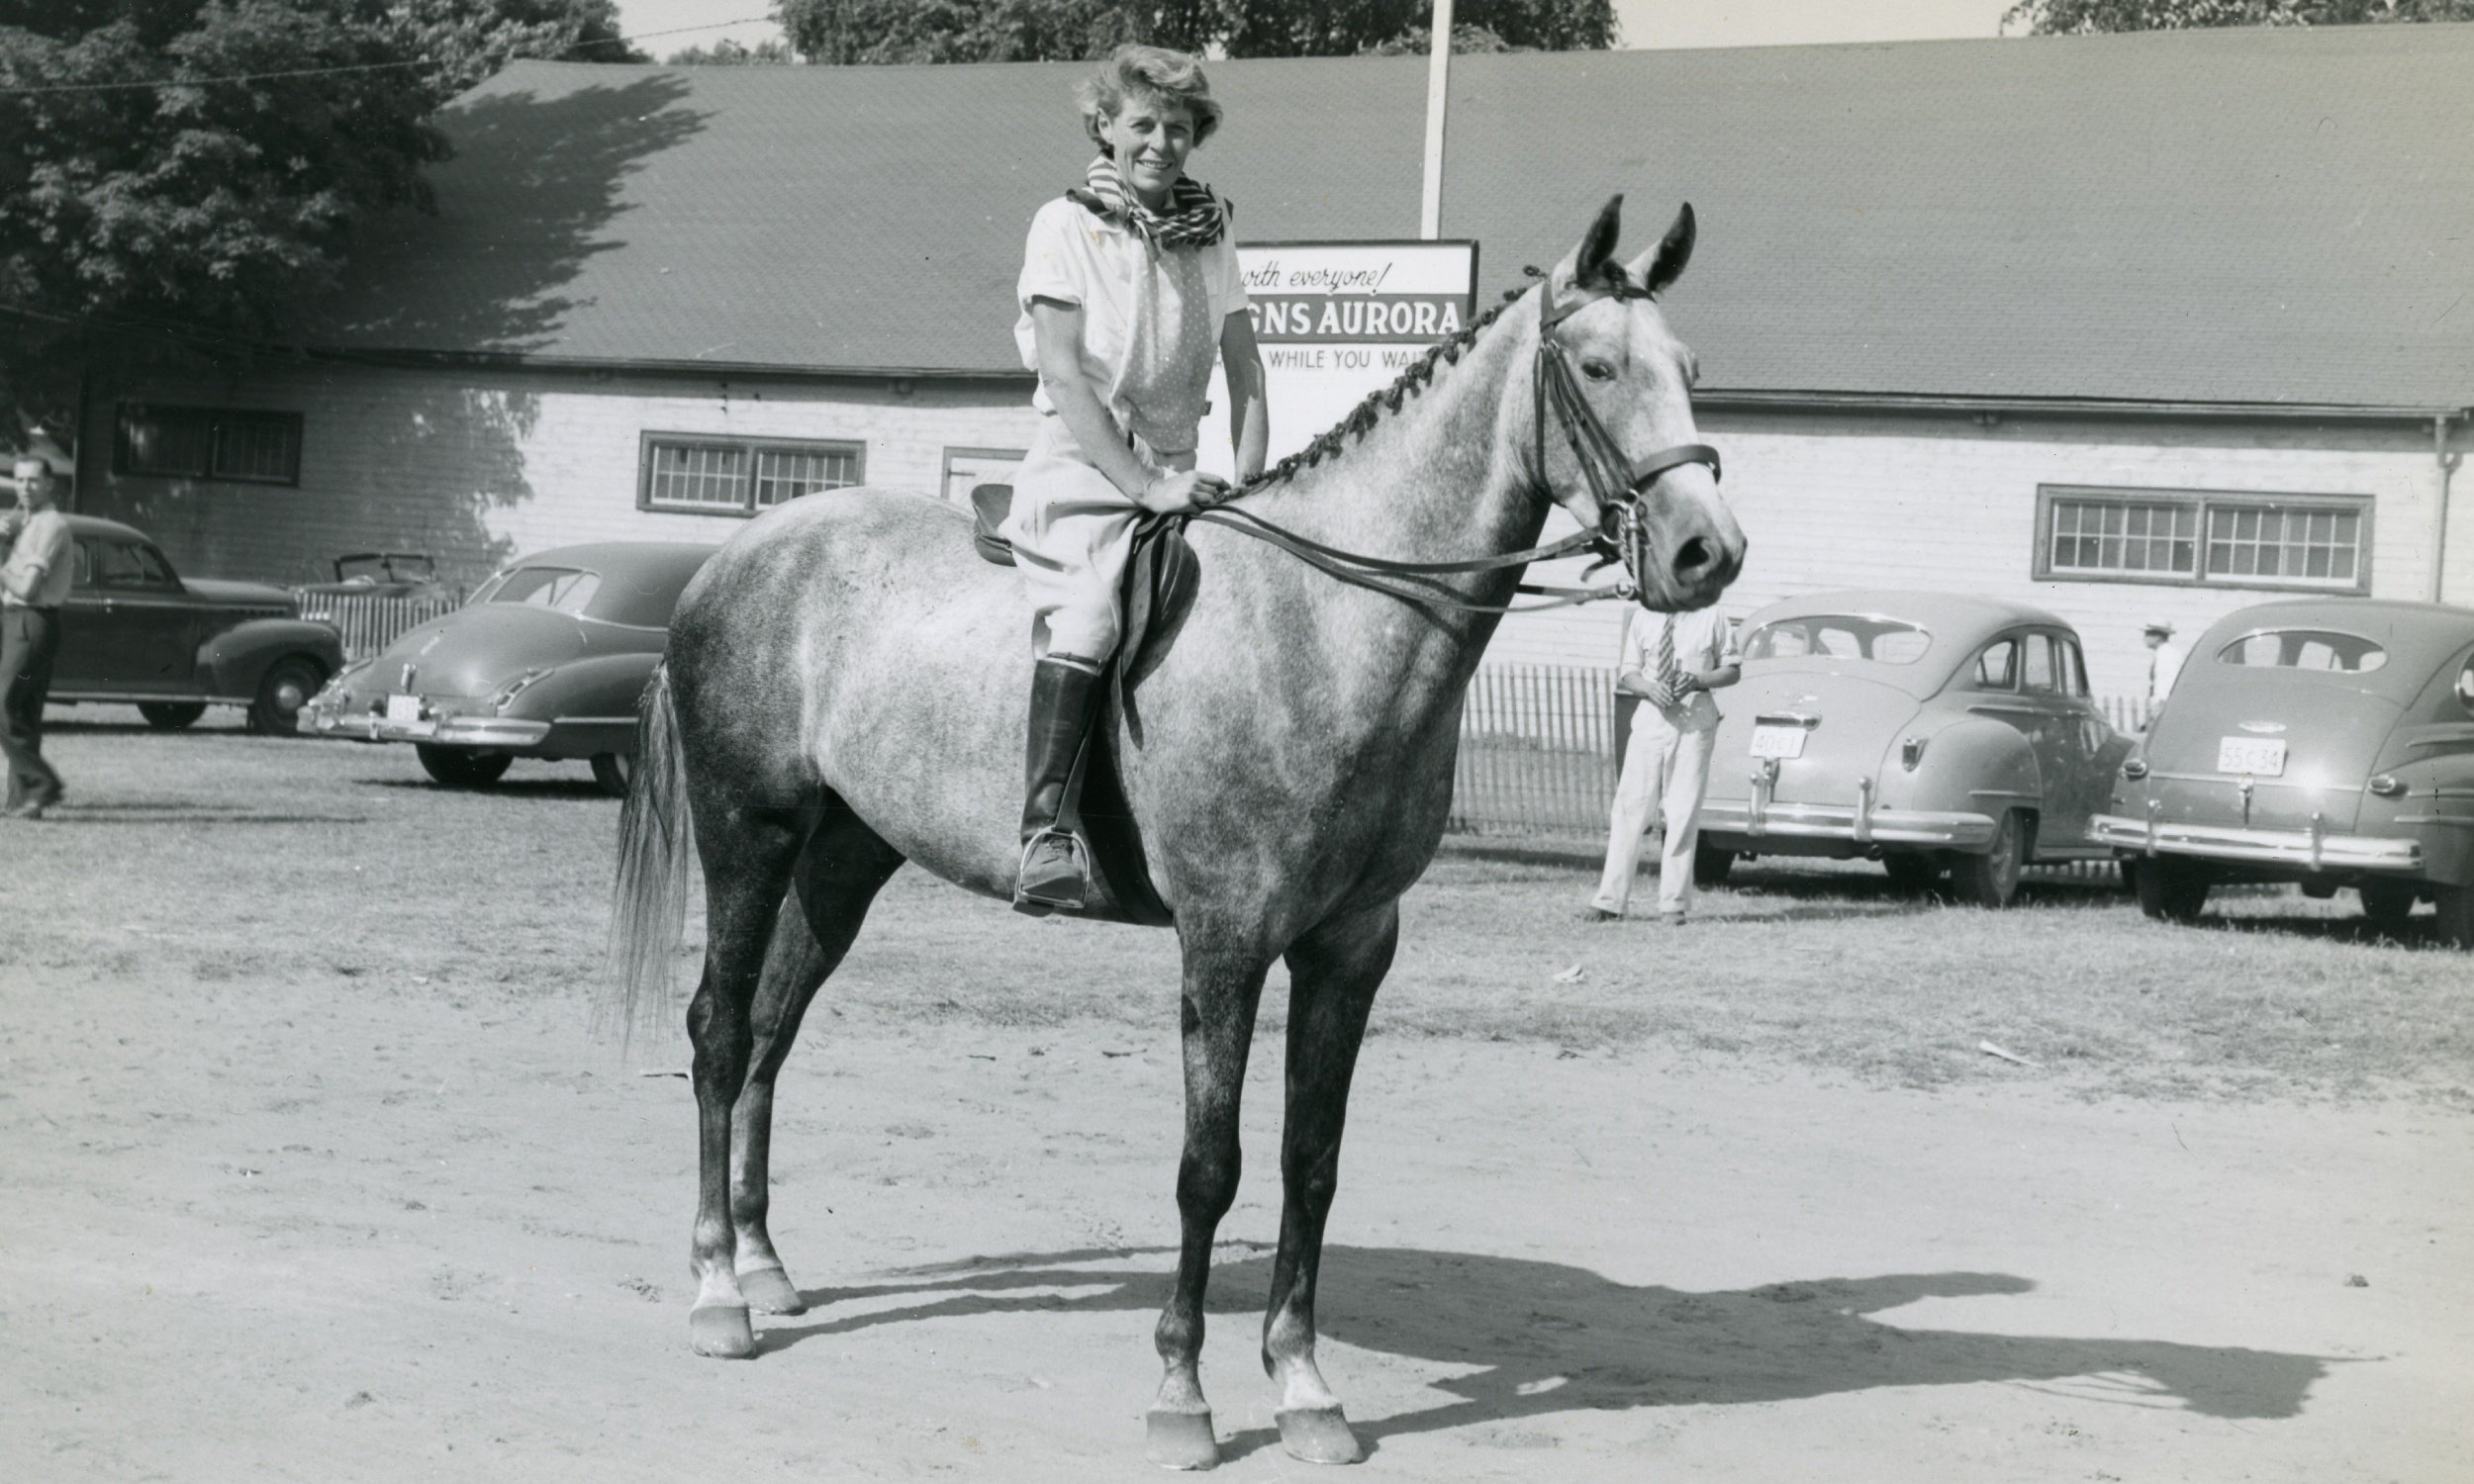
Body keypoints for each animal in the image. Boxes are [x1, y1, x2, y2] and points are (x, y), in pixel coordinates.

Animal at [606, 200, 1752, 1474]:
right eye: (1597, 368)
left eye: (1691, 370)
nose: (1708, 552)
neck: (1327, 622)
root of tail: (734, 554)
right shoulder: (1225, 940)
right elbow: (1212, 1168)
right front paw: (1183, 1396)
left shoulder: (1352, 947)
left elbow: (1311, 1162)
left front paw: (1304, 1389)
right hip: (748, 834)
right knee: (717, 1033)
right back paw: (718, 1292)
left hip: (847, 855)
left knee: (769, 1034)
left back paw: (764, 1265)